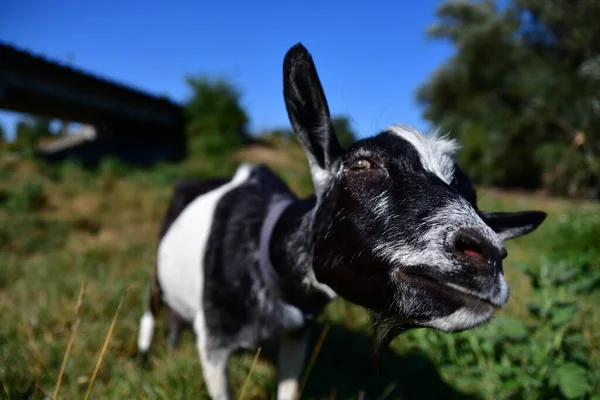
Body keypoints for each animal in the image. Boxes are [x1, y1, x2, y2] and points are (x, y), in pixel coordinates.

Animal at [137, 43, 548, 400]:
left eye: (472, 196)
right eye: (361, 163)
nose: (487, 254)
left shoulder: (297, 337)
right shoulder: (214, 346)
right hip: (156, 267)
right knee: (152, 306)